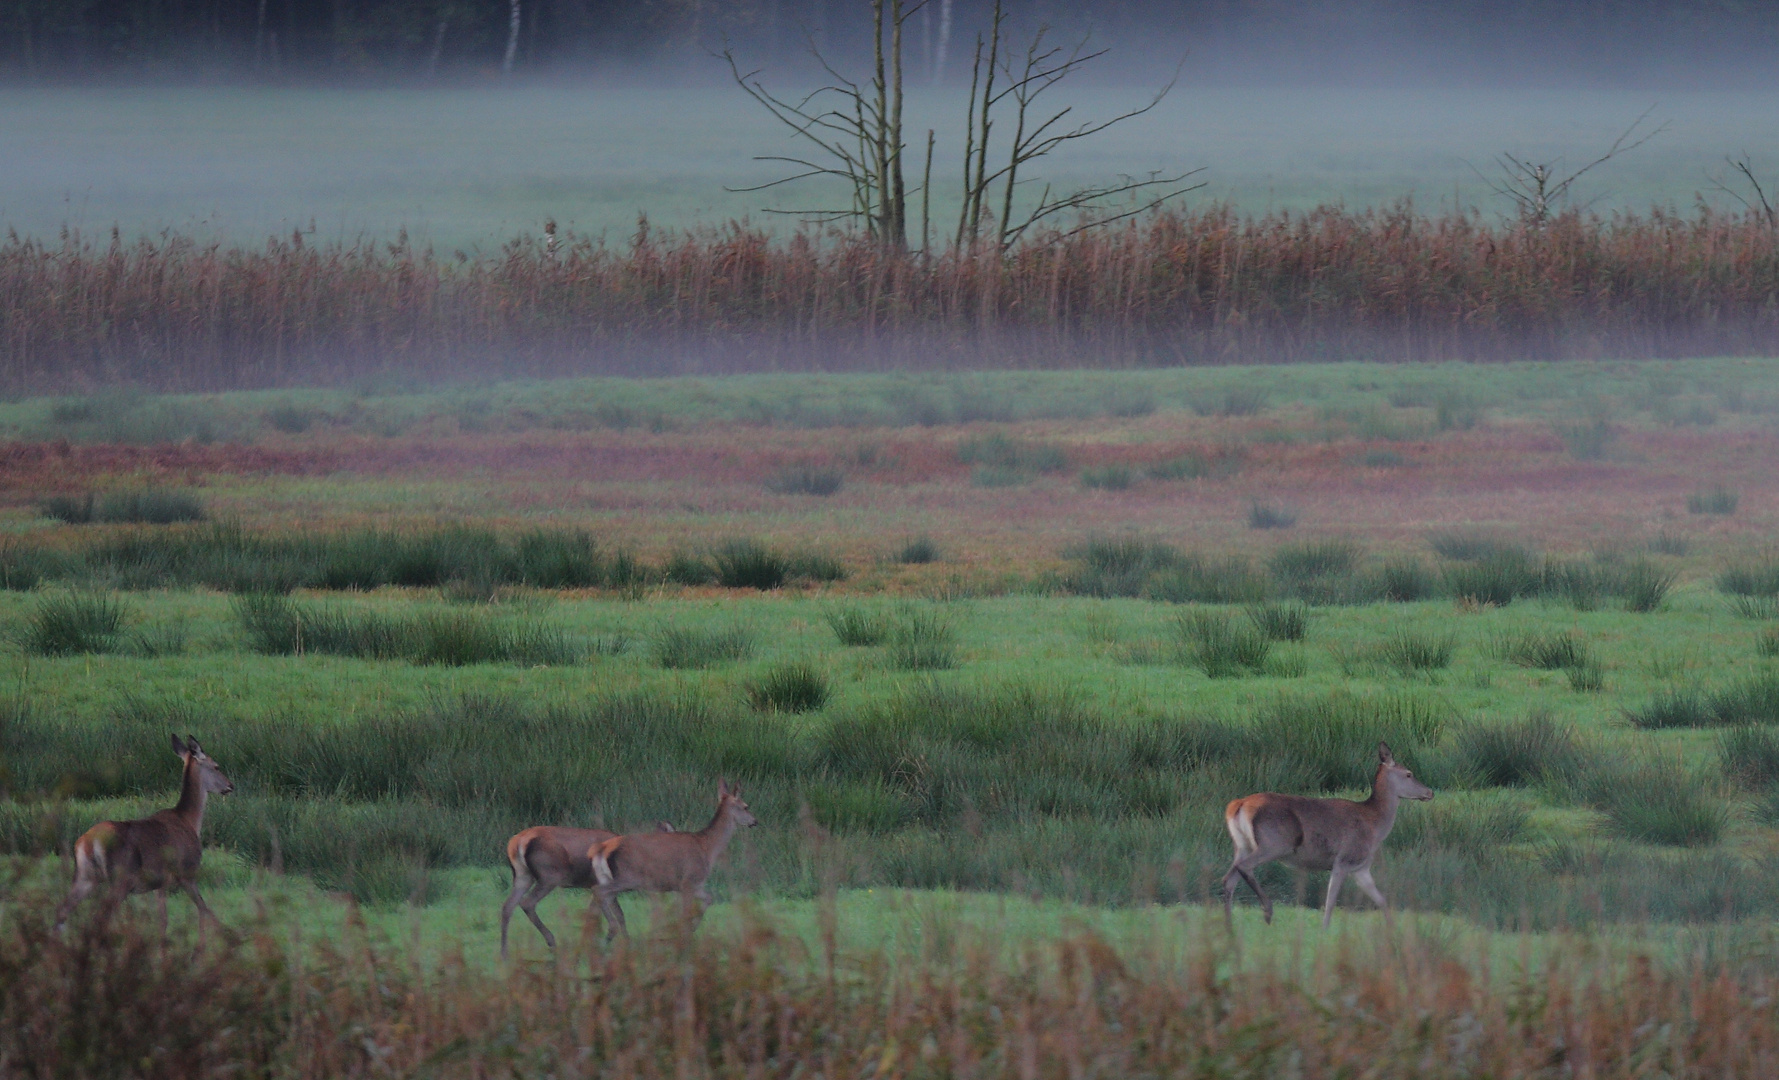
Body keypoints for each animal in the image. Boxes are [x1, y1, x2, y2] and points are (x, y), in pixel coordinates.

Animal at [55, 736, 234, 946]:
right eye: (216, 766)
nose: (230, 785)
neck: (189, 820)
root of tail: (88, 843)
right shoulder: (186, 871)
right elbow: (203, 908)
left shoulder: (161, 881)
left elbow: (163, 920)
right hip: (121, 878)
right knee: (99, 918)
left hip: (85, 875)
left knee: (62, 911)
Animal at [505, 814, 676, 960]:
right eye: (670, 831)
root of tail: (516, 842)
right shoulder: (599, 883)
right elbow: (599, 916)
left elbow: (617, 915)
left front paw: (626, 945)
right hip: (549, 876)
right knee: (527, 903)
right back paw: (552, 942)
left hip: (523, 875)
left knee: (508, 906)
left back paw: (504, 954)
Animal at [583, 782, 750, 939]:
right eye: (745, 807)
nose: (754, 821)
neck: (707, 847)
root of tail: (601, 848)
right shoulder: (688, 881)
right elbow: (685, 914)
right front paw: (685, 935)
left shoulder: (694, 885)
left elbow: (709, 898)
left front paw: (691, 929)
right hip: (628, 877)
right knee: (598, 892)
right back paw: (610, 933)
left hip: (609, 877)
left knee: (601, 901)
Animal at [1223, 743, 1430, 932]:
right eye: (1409, 774)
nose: (1429, 792)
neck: (1375, 827)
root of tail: (1237, 805)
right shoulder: (1344, 859)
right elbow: (1330, 900)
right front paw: (1324, 929)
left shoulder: (1361, 867)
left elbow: (1381, 899)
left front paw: (1392, 928)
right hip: (1274, 843)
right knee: (1244, 867)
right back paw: (1267, 911)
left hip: (1242, 845)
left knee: (1228, 878)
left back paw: (1229, 926)